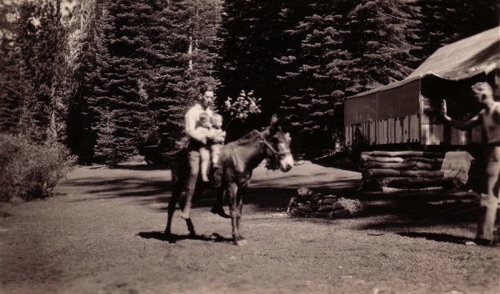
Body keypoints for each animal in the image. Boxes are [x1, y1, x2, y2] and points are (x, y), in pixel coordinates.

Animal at [166, 116, 294, 245]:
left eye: (287, 140)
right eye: (275, 139)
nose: (289, 165)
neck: (241, 157)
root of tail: (176, 155)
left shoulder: (243, 186)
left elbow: (238, 211)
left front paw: (240, 236)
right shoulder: (232, 185)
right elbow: (233, 211)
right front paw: (236, 238)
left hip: (199, 188)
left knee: (183, 202)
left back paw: (191, 230)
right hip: (178, 183)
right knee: (171, 206)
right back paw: (168, 233)